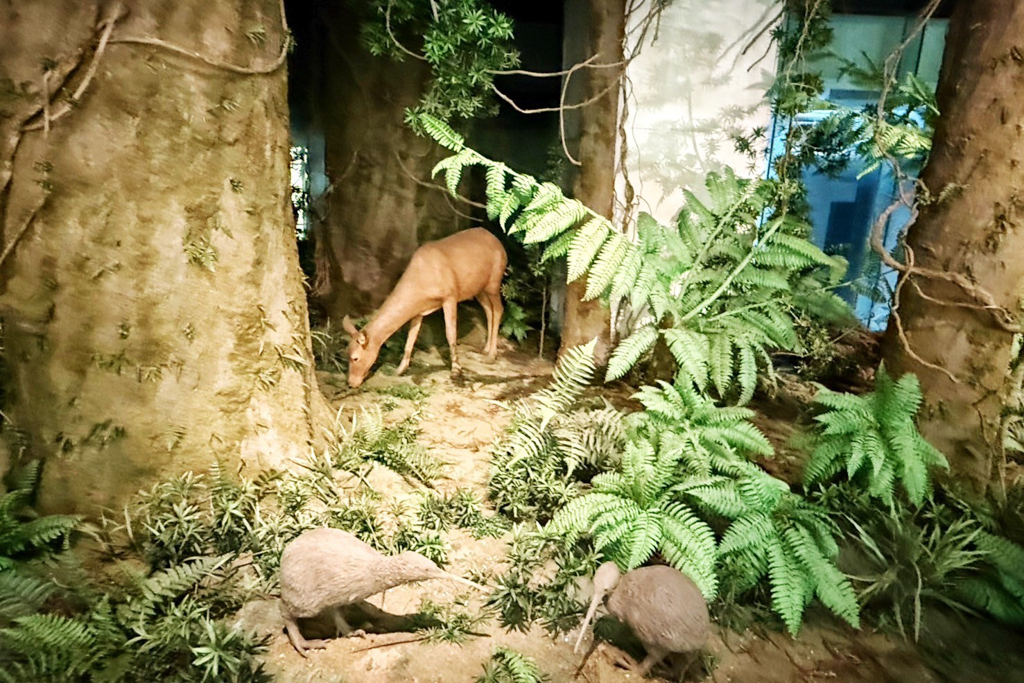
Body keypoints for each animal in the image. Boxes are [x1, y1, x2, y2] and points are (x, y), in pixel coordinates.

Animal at [342, 228, 505, 387]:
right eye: (347, 353)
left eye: (355, 358)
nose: (351, 383)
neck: (421, 282)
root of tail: (498, 242)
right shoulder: (418, 310)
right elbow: (411, 338)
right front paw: (399, 369)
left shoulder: (450, 296)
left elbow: (450, 333)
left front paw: (456, 371)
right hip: (479, 289)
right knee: (488, 310)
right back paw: (485, 349)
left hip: (494, 281)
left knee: (498, 309)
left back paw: (491, 355)